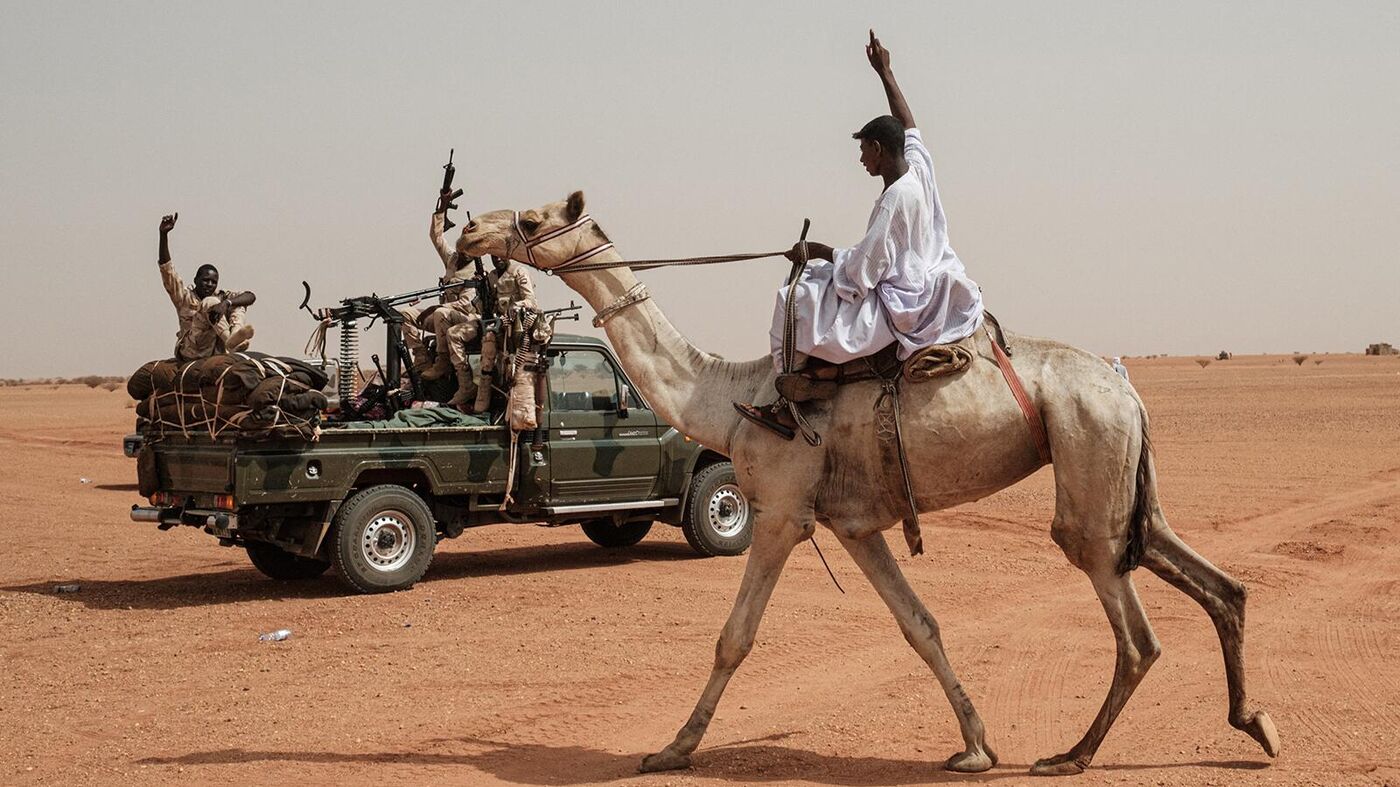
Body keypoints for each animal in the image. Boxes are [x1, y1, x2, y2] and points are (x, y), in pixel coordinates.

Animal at [456, 191, 1282, 772]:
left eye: (534, 215)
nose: (469, 234)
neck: (728, 395)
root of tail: (1128, 389)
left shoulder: (782, 512)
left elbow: (733, 637)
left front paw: (671, 749)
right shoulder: (856, 524)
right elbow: (921, 625)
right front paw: (975, 745)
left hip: (1088, 458)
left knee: (1133, 626)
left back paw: (1074, 753)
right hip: (1122, 476)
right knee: (1214, 581)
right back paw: (1255, 722)